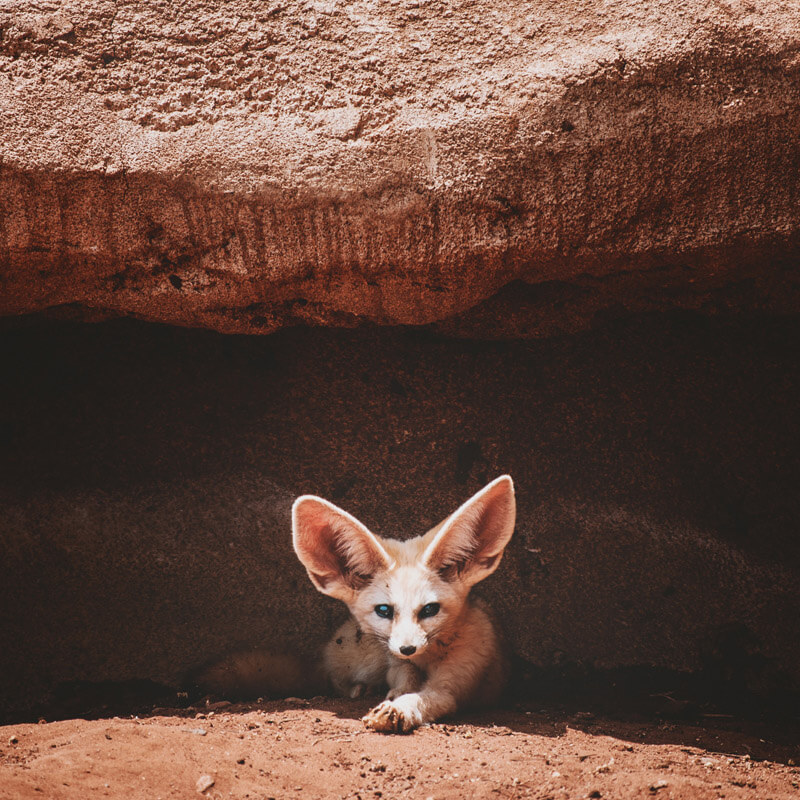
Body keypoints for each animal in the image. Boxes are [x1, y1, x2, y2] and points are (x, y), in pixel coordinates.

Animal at [292, 474, 516, 733]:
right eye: (384, 610)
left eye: (430, 609)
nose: (407, 648)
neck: (427, 658)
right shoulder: (396, 661)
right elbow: (404, 678)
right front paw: (396, 694)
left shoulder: (455, 681)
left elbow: (426, 698)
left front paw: (399, 709)